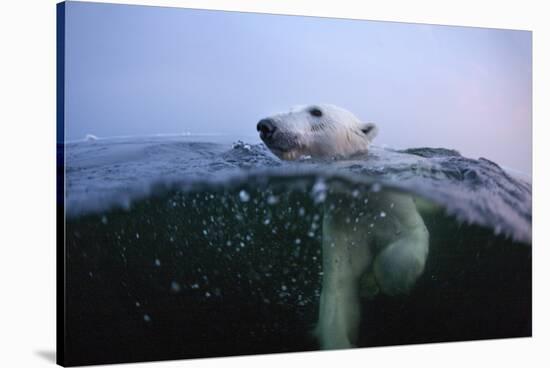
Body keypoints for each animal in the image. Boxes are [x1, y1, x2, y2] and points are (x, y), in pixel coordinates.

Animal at [258, 104, 432, 350]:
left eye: (316, 111)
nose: (266, 126)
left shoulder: (394, 203)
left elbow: (409, 239)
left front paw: (387, 283)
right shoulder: (343, 225)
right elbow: (339, 290)